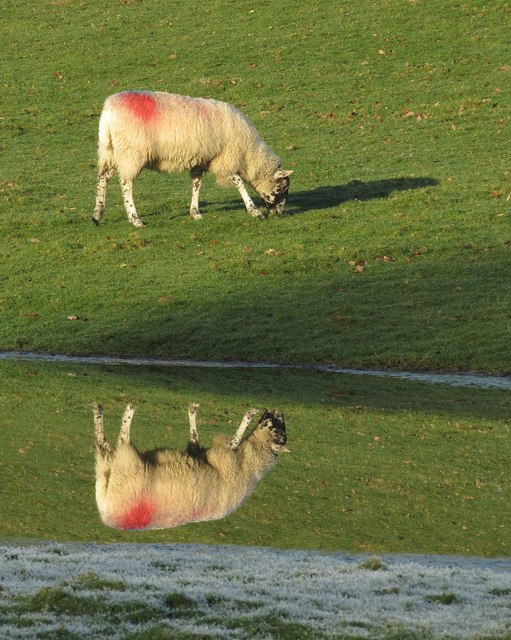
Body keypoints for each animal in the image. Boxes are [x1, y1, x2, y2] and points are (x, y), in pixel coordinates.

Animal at [91, 91, 292, 226]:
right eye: (282, 188)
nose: (280, 213)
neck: (249, 153)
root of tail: (108, 109)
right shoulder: (223, 159)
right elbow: (238, 182)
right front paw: (254, 211)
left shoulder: (201, 160)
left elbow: (197, 184)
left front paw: (195, 212)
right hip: (131, 152)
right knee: (126, 183)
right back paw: (134, 218)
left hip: (110, 150)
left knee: (103, 176)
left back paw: (97, 214)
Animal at [93, 400, 288, 528]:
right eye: (279, 428)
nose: (280, 411)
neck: (250, 465)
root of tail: (105, 510)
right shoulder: (198, 454)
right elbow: (195, 437)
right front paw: (192, 411)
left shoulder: (223, 455)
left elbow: (234, 439)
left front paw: (249, 414)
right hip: (109, 467)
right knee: (103, 444)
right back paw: (98, 412)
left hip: (127, 465)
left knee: (121, 439)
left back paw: (125, 411)